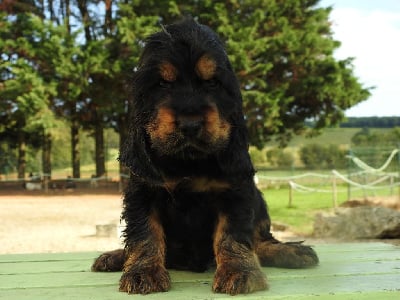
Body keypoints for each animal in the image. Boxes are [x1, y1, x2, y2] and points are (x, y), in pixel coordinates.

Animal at [91, 18, 318, 296]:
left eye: (212, 83)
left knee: (260, 241)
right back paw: (114, 257)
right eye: (162, 83)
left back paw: (292, 251)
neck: (189, 161)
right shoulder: (143, 192)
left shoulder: (236, 191)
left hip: (259, 199)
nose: (190, 124)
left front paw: (239, 271)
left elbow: (231, 234)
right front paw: (143, 271)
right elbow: (144, 232)